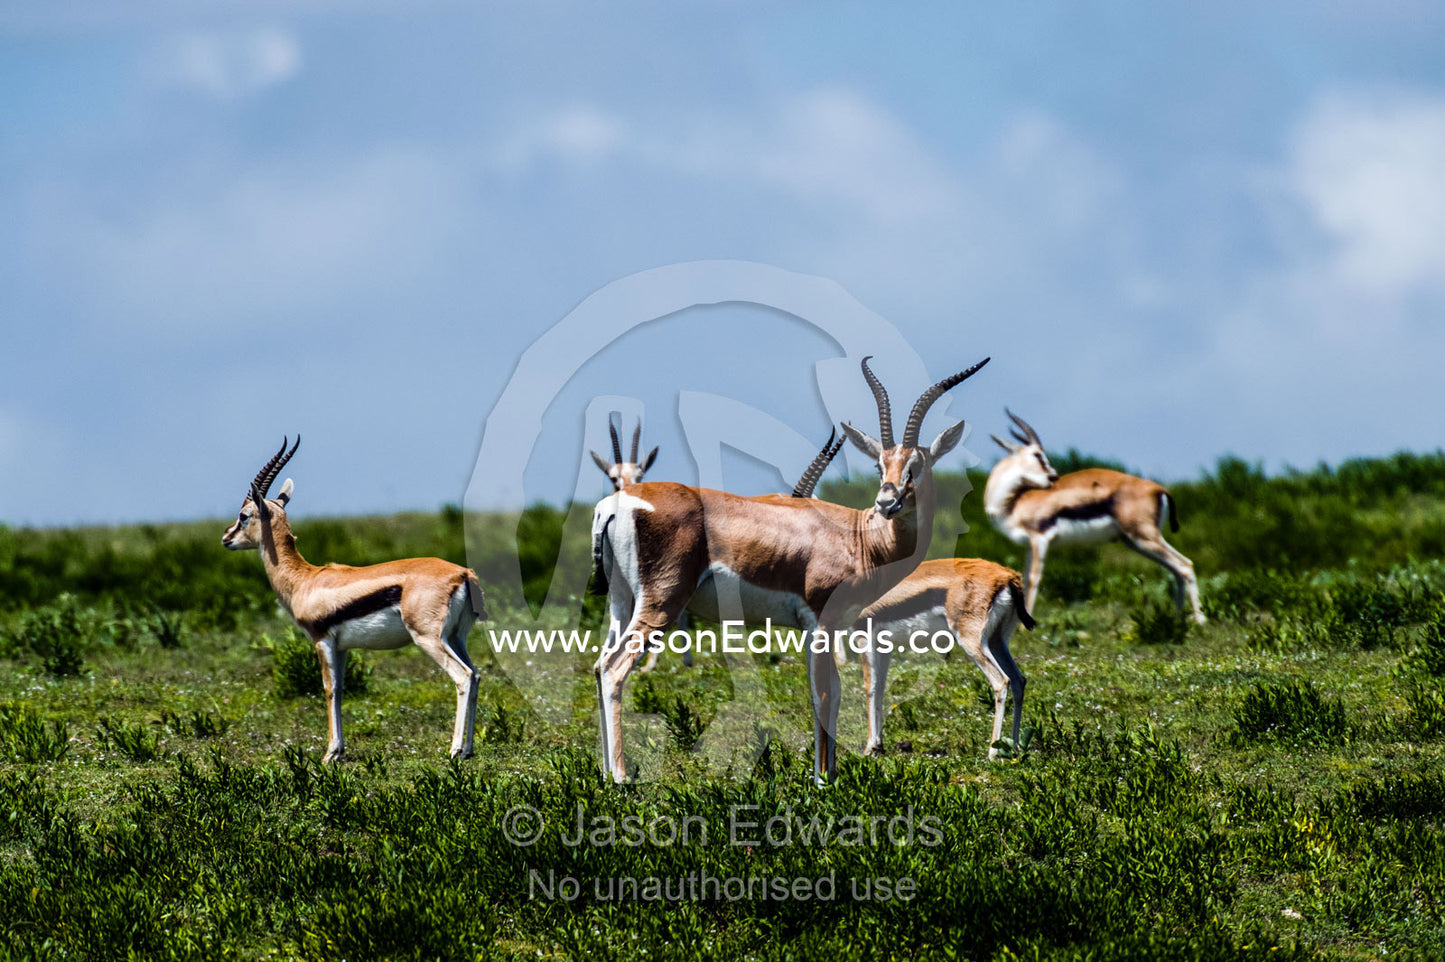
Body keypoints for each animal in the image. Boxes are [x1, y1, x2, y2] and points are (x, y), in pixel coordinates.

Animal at [221, 438, 487, 762]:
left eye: (244, 515)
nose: (226, 538)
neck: (304, 580)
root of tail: (463, 573)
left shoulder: (321, 639)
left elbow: (328, 689)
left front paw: (329, 754)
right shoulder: (343, 646)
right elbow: (341, 690)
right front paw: (339, 751)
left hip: (428, 639)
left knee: (463, 677)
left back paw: (455, 750)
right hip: (457, 638)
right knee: (476, 675)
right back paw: (469, 750)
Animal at [590, 356, 989, 785]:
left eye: (915, 465)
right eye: (880, 464)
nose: (886, 502)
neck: (859, 537)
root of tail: (615, 504)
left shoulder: (826, 628)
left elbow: (834, 693)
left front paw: (829, 774)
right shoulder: (820, 622)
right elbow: (824, 695)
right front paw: (822, 780)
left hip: (622, 601)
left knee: (599, 664)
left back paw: (604, 773)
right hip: (661, 603)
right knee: (614, 668)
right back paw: (621, 777)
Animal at [789, 435, 1035, 760]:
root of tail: (1007, 577)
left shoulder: (865, 638)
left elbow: (869, 687)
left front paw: (869, 748)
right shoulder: (882, 645)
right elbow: (879, 688)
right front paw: (877, 745)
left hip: (972, 641)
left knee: (1001, 681)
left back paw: (993, 753)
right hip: (997, 640)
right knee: (1019, 680)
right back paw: (1015, 748)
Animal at [986, 409, 1204, 624]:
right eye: (1037, 454)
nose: (1053, 476)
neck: (1015, 501)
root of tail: (1158, 489)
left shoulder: (1040, 538)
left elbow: (1033, 578)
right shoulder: (1031, 544)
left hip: (1144, 537)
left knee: (1185, 565)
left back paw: (1199, 620)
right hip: (1135, 542)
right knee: (1175, 570)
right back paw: (1177, 618)